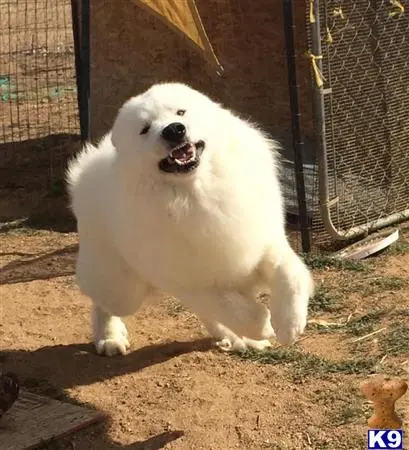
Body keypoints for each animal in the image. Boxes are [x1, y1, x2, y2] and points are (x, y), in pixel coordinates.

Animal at [67, 82, 312, 356]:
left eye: (181, 112)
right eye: (145, 129)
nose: (174, 129)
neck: (196, 192)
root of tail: (89, 164)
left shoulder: (265, 243)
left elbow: (291, 276)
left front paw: (289, 325)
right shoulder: (187, 282)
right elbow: (234, 310)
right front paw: (264, 325)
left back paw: (234, 339)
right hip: (122, 289)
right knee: (103, 305)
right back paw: (109, 338)